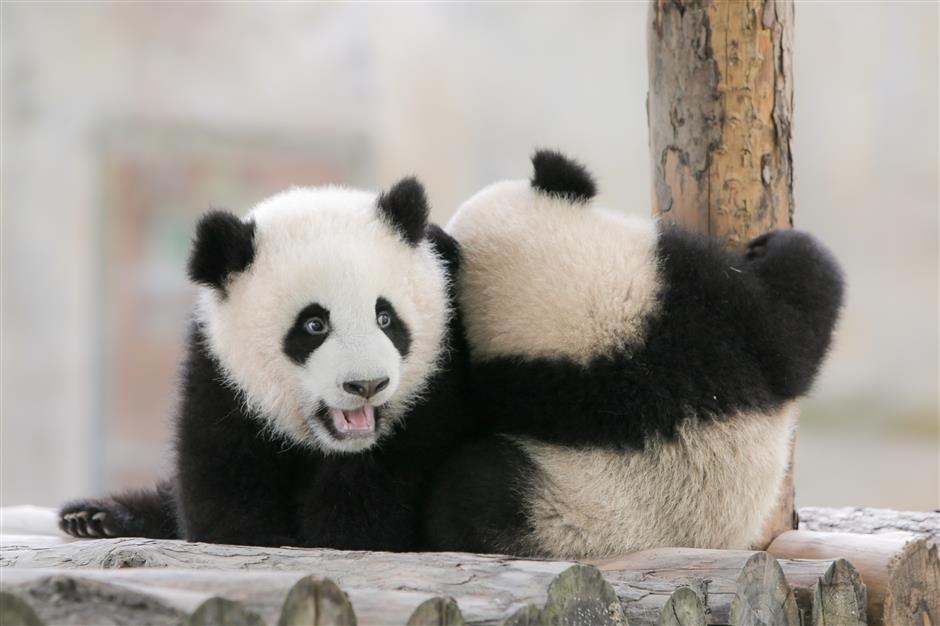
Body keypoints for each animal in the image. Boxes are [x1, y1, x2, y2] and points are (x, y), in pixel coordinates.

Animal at [59, 178, 470, 548]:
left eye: (385, 318)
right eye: (314, 325)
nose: (367, 385)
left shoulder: (435, 387)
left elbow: (371, 512)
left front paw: (338, 526)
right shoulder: (220, 375)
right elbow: (220, 475)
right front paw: (252, 531)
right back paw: (95, 516)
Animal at [426, 150, 844, 556]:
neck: (596, 313)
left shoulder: (686, 284)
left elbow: (794, 324)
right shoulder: (701, 300)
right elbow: (792, 337)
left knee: (474, 491)